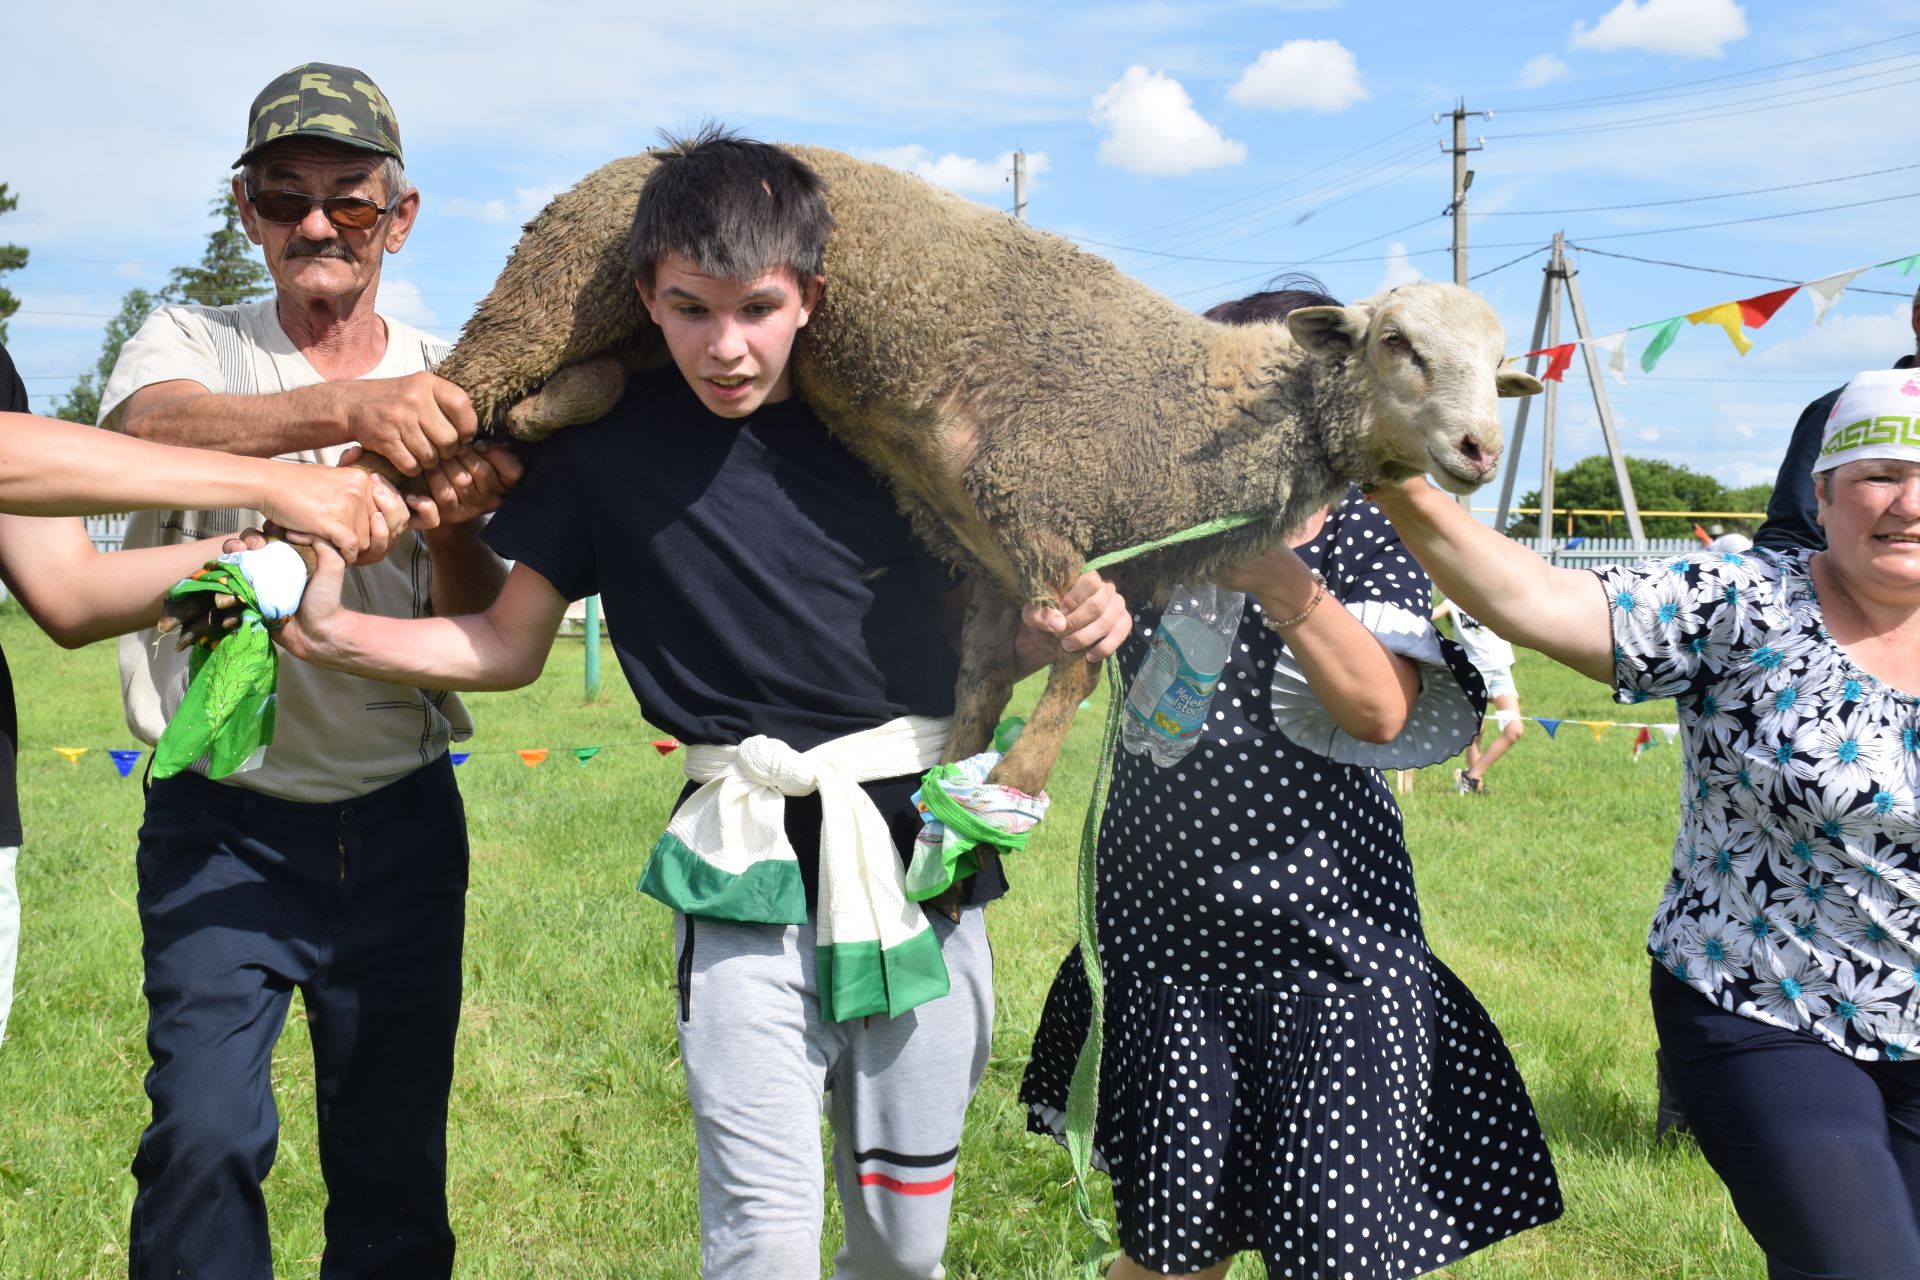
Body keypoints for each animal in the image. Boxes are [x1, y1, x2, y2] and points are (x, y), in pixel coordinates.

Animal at [428, 144, 1536, 794]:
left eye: (1498, 368)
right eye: (1398, 343)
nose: (1480, 448)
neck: (1197, 413)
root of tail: (659, 154)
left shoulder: (1003, 558)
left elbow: (987, 682)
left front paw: (954, 795)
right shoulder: (1032, 494)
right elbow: (1082, 662)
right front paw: (1021, 781)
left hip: (628, 333)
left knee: (559, 394)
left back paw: (552, 410)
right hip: (554, 287)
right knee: (454, 390)